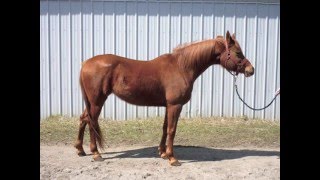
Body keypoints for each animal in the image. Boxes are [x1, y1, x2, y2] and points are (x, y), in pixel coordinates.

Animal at [74, 31, 254, 166]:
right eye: (238, 52)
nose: (251, 70)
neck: (182, 67)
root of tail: (86, 64)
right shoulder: (175, 105)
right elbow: (172, 130)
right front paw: (172, 158)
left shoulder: (168, 105)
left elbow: (164, 127)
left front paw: (163, 153)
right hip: (97, 101)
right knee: (91, 121)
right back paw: (96, 153)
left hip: (92, 102)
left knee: (84, 118)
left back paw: (80, 149)